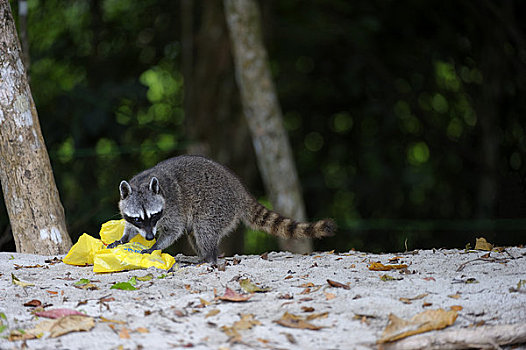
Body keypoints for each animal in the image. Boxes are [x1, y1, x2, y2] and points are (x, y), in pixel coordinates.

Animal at [108, 154, 336, 264]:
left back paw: (208, 257)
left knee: (204, 229)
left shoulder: (173, 206)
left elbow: (174, 230)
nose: (148, 237)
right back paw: (202, 256)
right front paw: (124, 238)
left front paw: (156, 246)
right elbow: (129, 227)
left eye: (154, 215)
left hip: (216, 204)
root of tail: (237, 188)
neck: (143, 183)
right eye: (138, 219)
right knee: (195, 233)